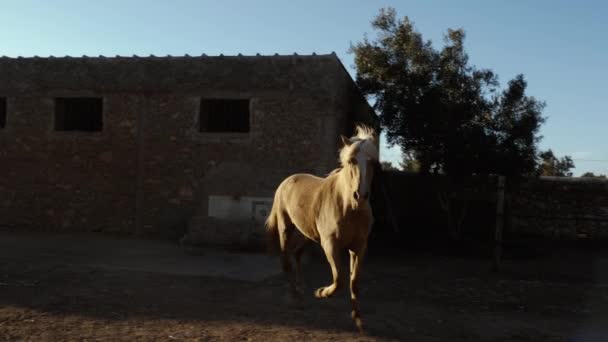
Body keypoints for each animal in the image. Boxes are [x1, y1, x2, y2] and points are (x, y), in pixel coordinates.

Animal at [264, 123, 376, 332]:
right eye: (351, 161)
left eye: (373, 163)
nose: (360, 196)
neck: (349, 207)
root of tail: (287, 181)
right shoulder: (330, 245)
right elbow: (339, 280)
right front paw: (322, 292)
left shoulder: (359, 247)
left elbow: (354, 282)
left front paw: (358, 319)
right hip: (286, 229)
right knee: (286, 261)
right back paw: (296, 298)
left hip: (308, 234)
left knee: (297, 254)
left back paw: (301, 288)